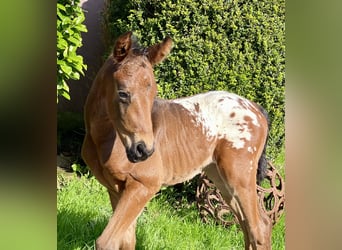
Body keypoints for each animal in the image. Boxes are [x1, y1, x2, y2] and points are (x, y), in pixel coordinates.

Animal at [81, 31, 272, 250]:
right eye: (122, 93)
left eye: (153, 93)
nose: (144, 150)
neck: (104, 139)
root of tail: (257, 109)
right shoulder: (116, 189)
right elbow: (126, 241)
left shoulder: (143, 185)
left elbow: (107, 241)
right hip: (220, 177)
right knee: (250, 226)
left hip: (239, 176)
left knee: (259, 228)